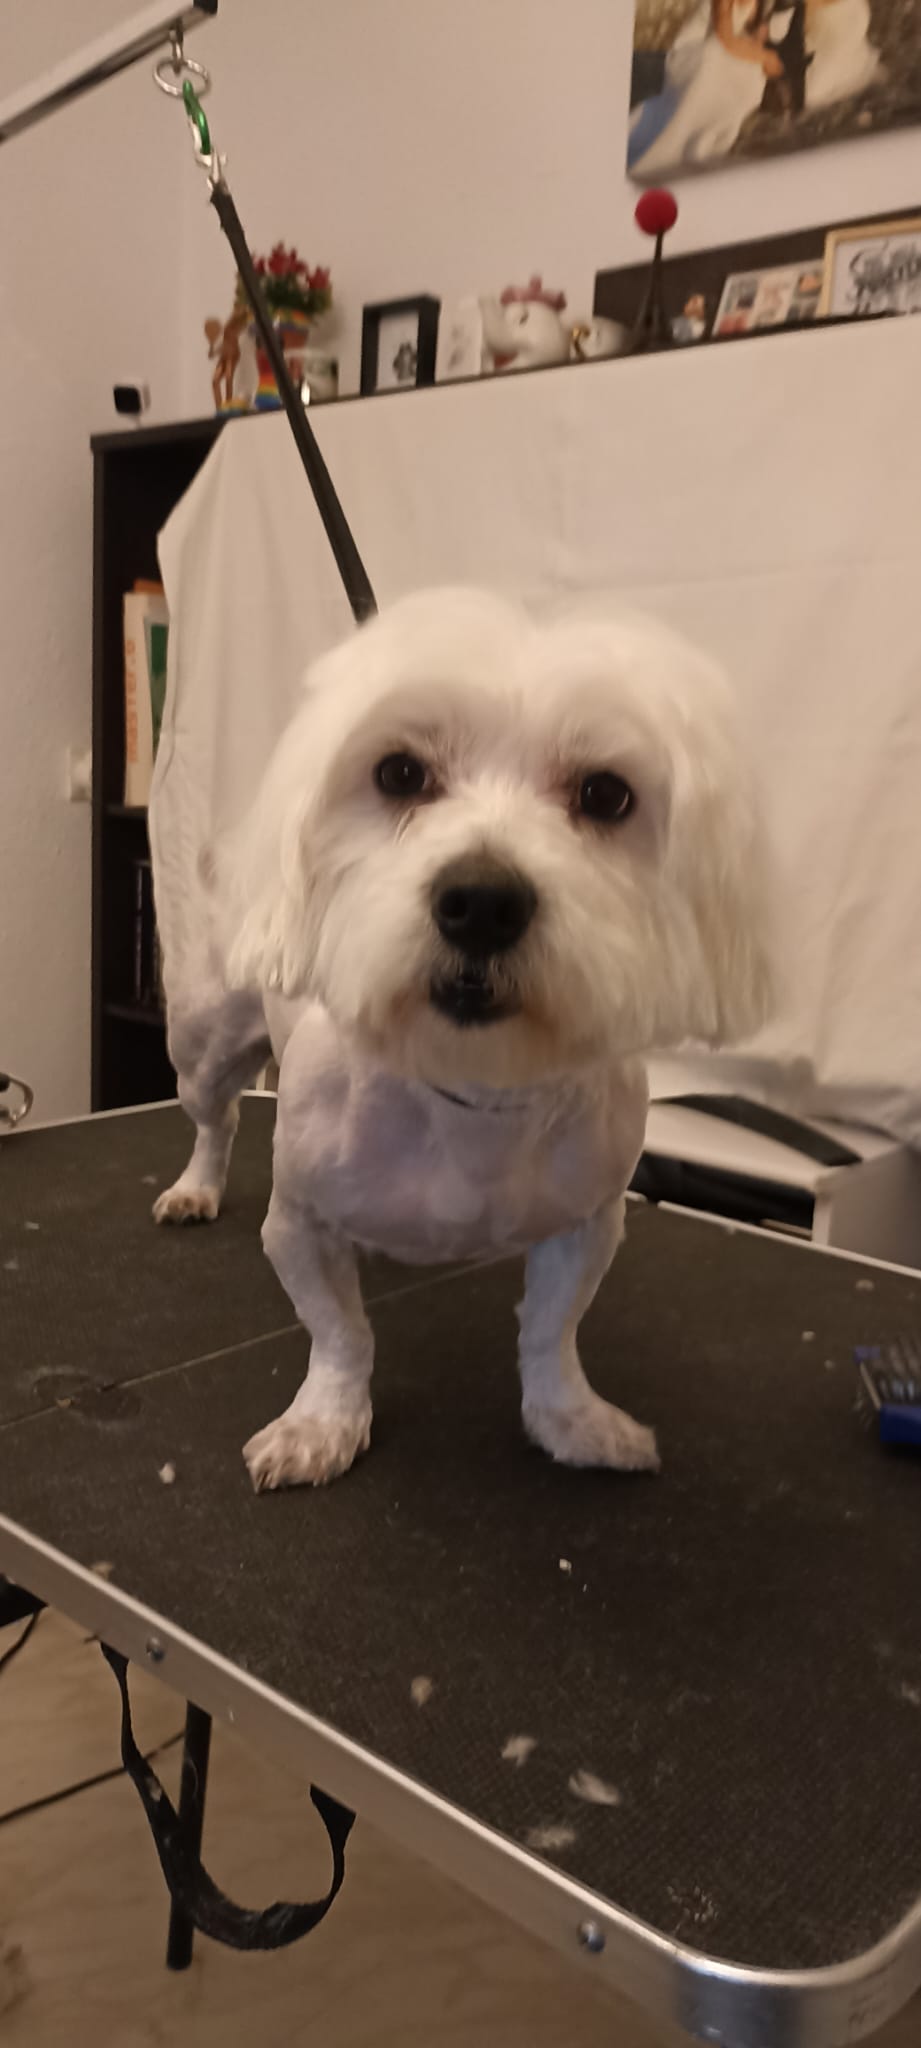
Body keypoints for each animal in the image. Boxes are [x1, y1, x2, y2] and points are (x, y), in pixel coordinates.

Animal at [153, 588, 773, 1490]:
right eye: (400, 774)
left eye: (605, 794)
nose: (482, 901)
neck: (473, 1088)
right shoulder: (298, 1224)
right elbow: (341, 1334)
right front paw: (323, 1423)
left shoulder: (585, 1225)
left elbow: (551, 1334)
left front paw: (571, 1421)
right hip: (201, 1044)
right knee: (216, 1117)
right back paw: (196, 1186)